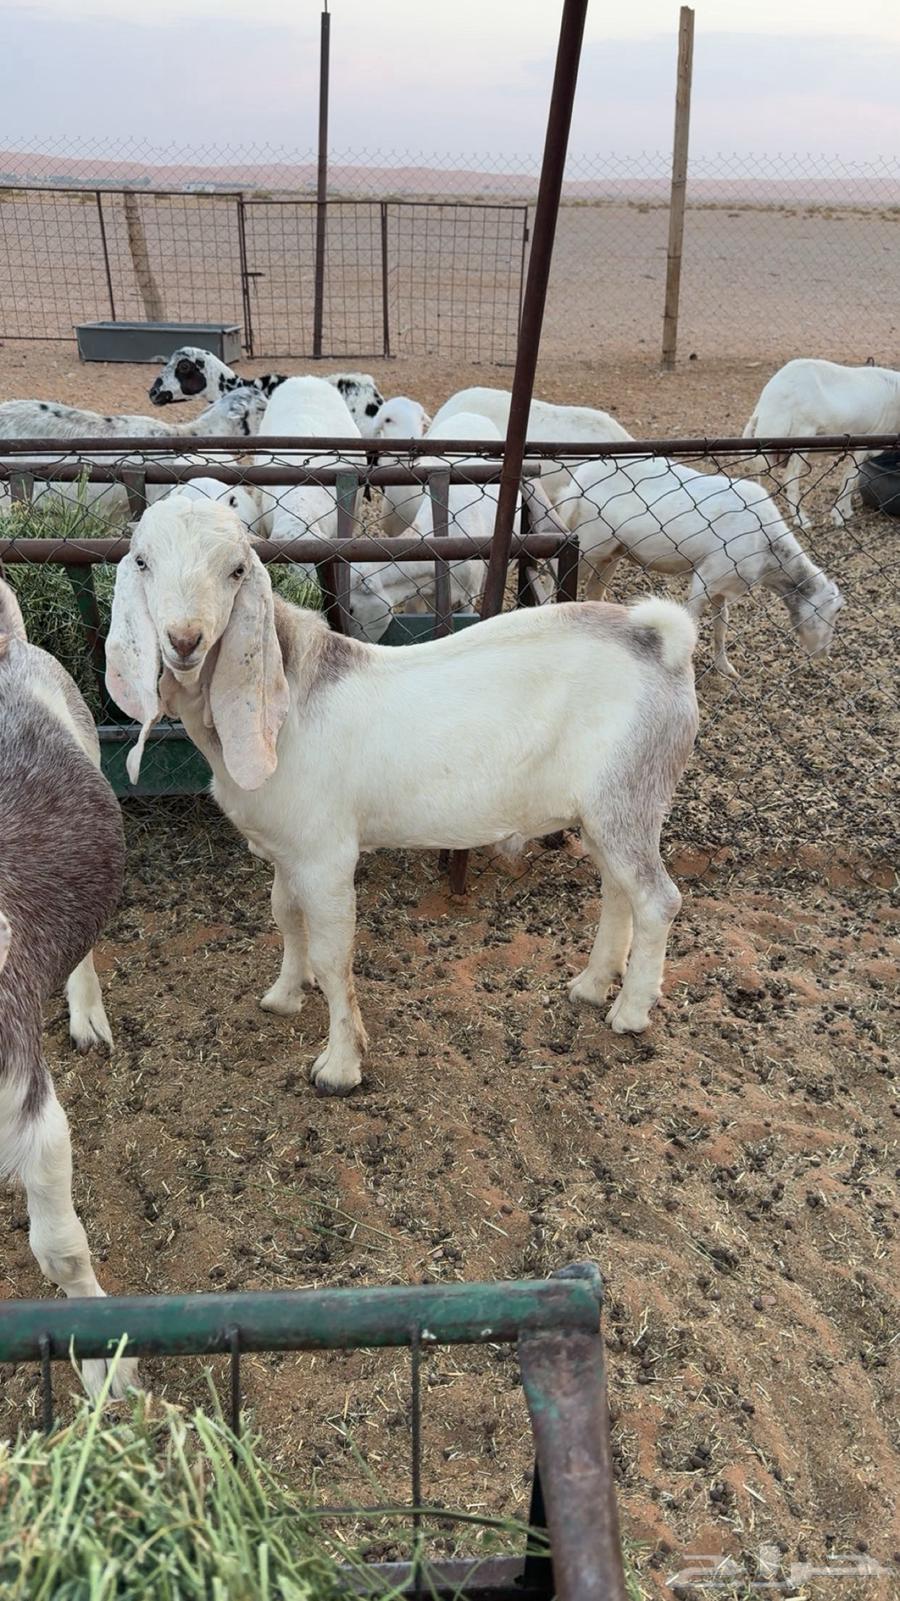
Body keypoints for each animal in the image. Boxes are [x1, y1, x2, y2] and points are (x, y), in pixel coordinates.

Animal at [106, 497, 699, 1095]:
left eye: (236, 570)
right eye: (142, 561)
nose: (185, 641)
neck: (290, 702)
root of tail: (662, 643)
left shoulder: (325, 856)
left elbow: (333, 954)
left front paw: (340, 1066)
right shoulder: (286, 849)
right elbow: (285, 916)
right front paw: (284, 995)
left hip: (629, 795)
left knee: (657, 899)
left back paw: (630, 1011)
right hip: (605, 811)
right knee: (617, 891)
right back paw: (593, 984)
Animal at [553, 454, 844, 678]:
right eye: (833, 612)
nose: (824, 653)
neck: (768, 556)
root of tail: (576, 485)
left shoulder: (723, 584)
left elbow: (721, 624)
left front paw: (725, 668)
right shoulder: (706, 577)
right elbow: (691, 621)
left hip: (612, 552)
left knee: (594, 590)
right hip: (591, 541)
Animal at [743, 357, 900, 528]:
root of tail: (765, 406)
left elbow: (852, 477)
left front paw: (847, 512)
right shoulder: (865, 440)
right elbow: (851, 477)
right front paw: (838, 517)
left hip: (770, 451)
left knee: (764, 480)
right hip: (802, 436)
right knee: (790, 478)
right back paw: (802, 520)